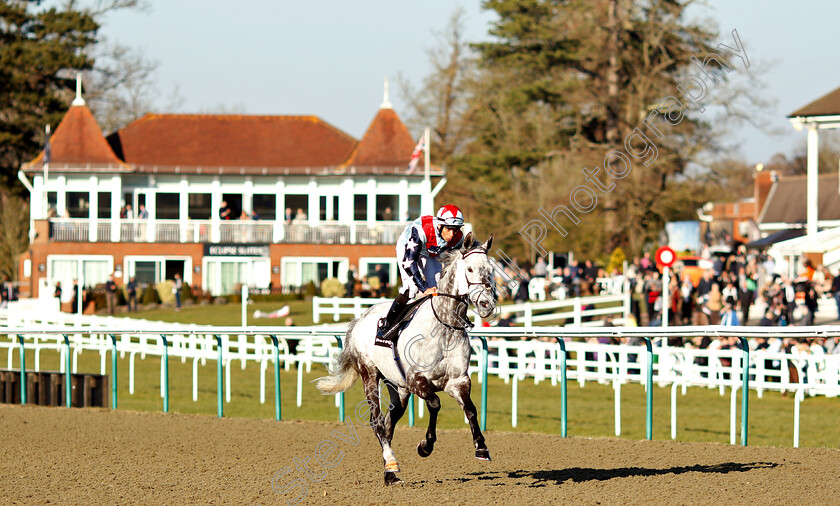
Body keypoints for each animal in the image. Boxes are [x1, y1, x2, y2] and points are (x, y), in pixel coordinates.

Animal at [316, 231, 498, 484]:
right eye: (470, 269)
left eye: (490, 269)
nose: (486, 303)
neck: (443, 327)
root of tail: (360, 318)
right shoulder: (416, 379)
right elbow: (434, 403)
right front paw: (425, 445)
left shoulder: (458, 380)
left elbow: (471, 409)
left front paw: (481, 447)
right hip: (369, 374)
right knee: (377, 422)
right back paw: (392, 463)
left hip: (398, 388)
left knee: (389, 422)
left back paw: (389, 473)